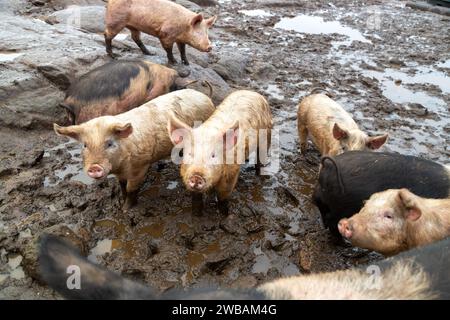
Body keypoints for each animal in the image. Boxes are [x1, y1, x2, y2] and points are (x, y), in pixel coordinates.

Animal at [52, 89, 214, 210]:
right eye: (85, 145)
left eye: (109, 143)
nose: (94, 167)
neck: (120, 165)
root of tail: (204, 95)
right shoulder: (121, 173)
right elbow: (122, 186)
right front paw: (120, 202)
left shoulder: (140, 166)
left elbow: (131, 189)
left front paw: (126, 209)